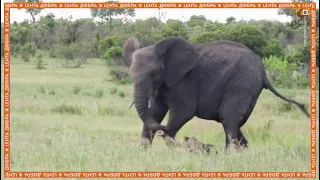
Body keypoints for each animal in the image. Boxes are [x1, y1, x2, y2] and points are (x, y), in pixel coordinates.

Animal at [122, 36, 310, 150]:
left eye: (153, 73)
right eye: (130, 74)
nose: (163, 129)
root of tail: (264, 72)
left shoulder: (184, 81)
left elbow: (184, 112)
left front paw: (171, 144)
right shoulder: (165, 83)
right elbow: (155, 112)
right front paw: (144, 152)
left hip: (242, 84)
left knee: (229, 121)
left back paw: (229, 157)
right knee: (234, 123)